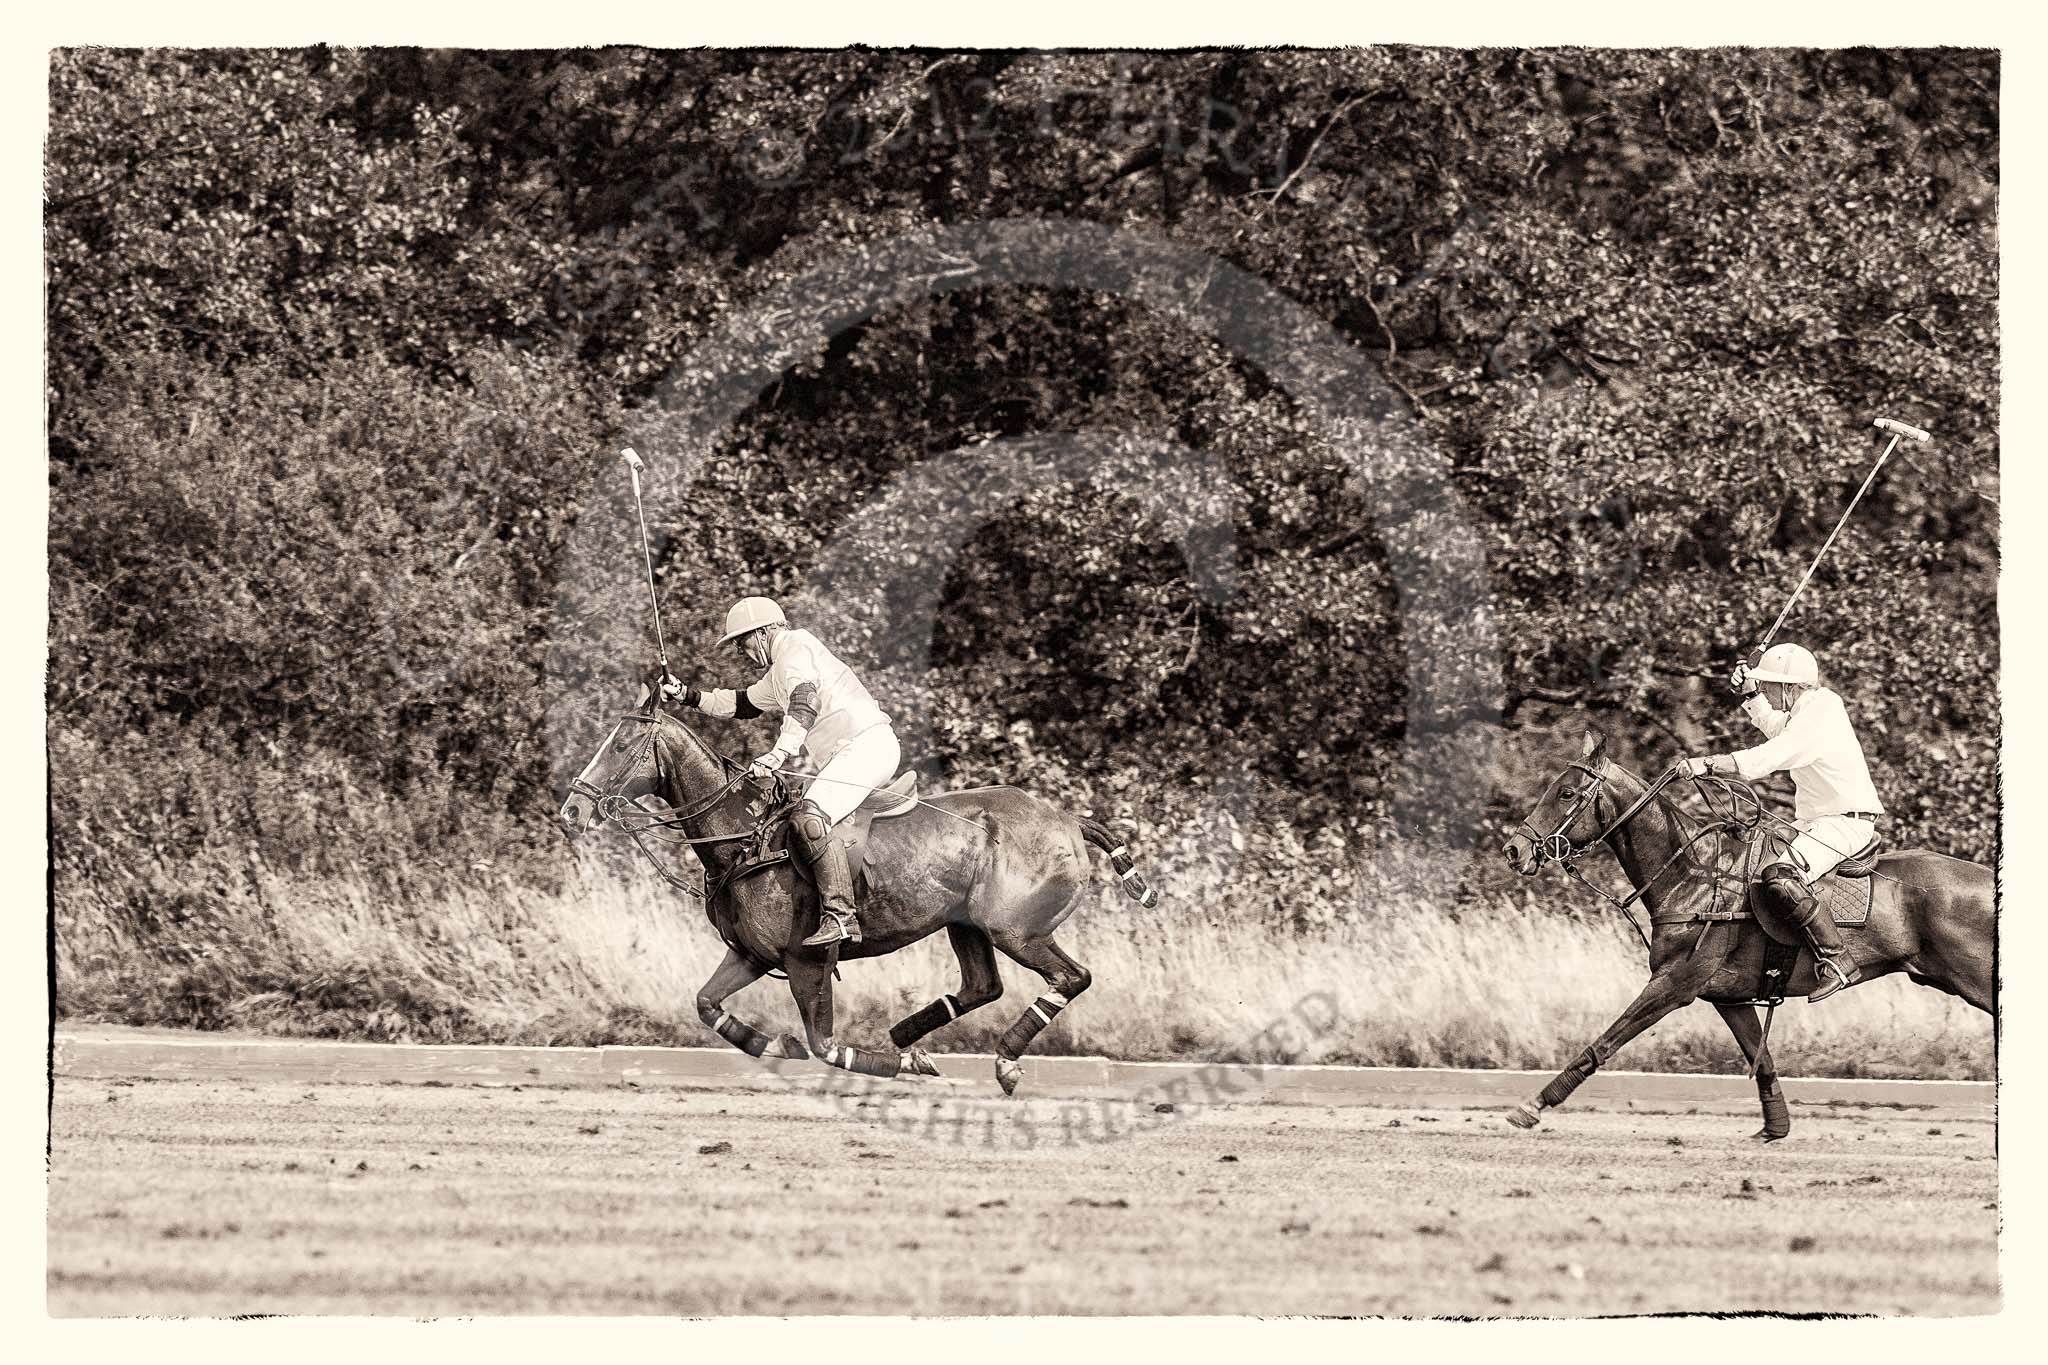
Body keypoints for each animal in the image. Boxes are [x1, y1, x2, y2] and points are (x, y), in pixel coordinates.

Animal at [561, 695, 1163, 1096]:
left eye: (621, 743)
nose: (572, 809)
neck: (744, 835)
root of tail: (1068, 819)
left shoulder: (806, 959)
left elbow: (825, 1045)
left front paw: (907, 1065)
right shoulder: (752, 954)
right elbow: (707, 1004)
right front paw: (774, 1045)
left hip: (1017, 928)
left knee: (1071, 977)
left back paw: (1003, 1062)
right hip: (965, 924)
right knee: (982, 986)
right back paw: (907, 1032)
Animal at [1499, 736, 1990, 1146]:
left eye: (1566, 793)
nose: (1514, 851)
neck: (1690, 875)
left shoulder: (1674, 984)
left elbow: (1604, 1042)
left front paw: (1531, 1107)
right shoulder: (1728, 997)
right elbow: (1762, 1058)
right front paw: (1775, 1129)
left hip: (1975, 978)